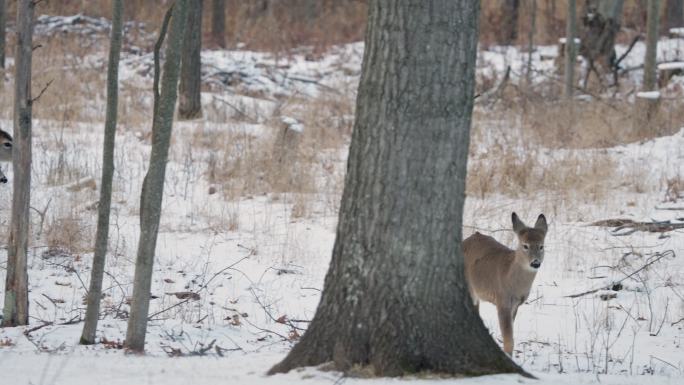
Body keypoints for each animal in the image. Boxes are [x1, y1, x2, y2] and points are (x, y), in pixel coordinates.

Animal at [462, 213, 548, 354]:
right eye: (525, 245)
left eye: (541, 246)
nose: (535, 263)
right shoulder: (502, 301)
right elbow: (508, 340)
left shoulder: (516, 305)